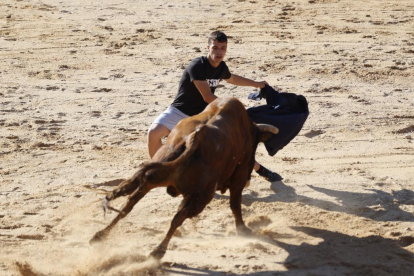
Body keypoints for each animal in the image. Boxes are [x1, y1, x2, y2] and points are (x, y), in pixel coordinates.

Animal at [90, 96, 278, 258]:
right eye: (255, 146)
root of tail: (194, 137)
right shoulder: (238, 179)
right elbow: (235, 205)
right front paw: (242, 229)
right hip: (202, 196)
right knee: (177, 218)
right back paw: (158, 251)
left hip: (153, 176)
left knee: (128, 203)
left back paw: (100, 235)